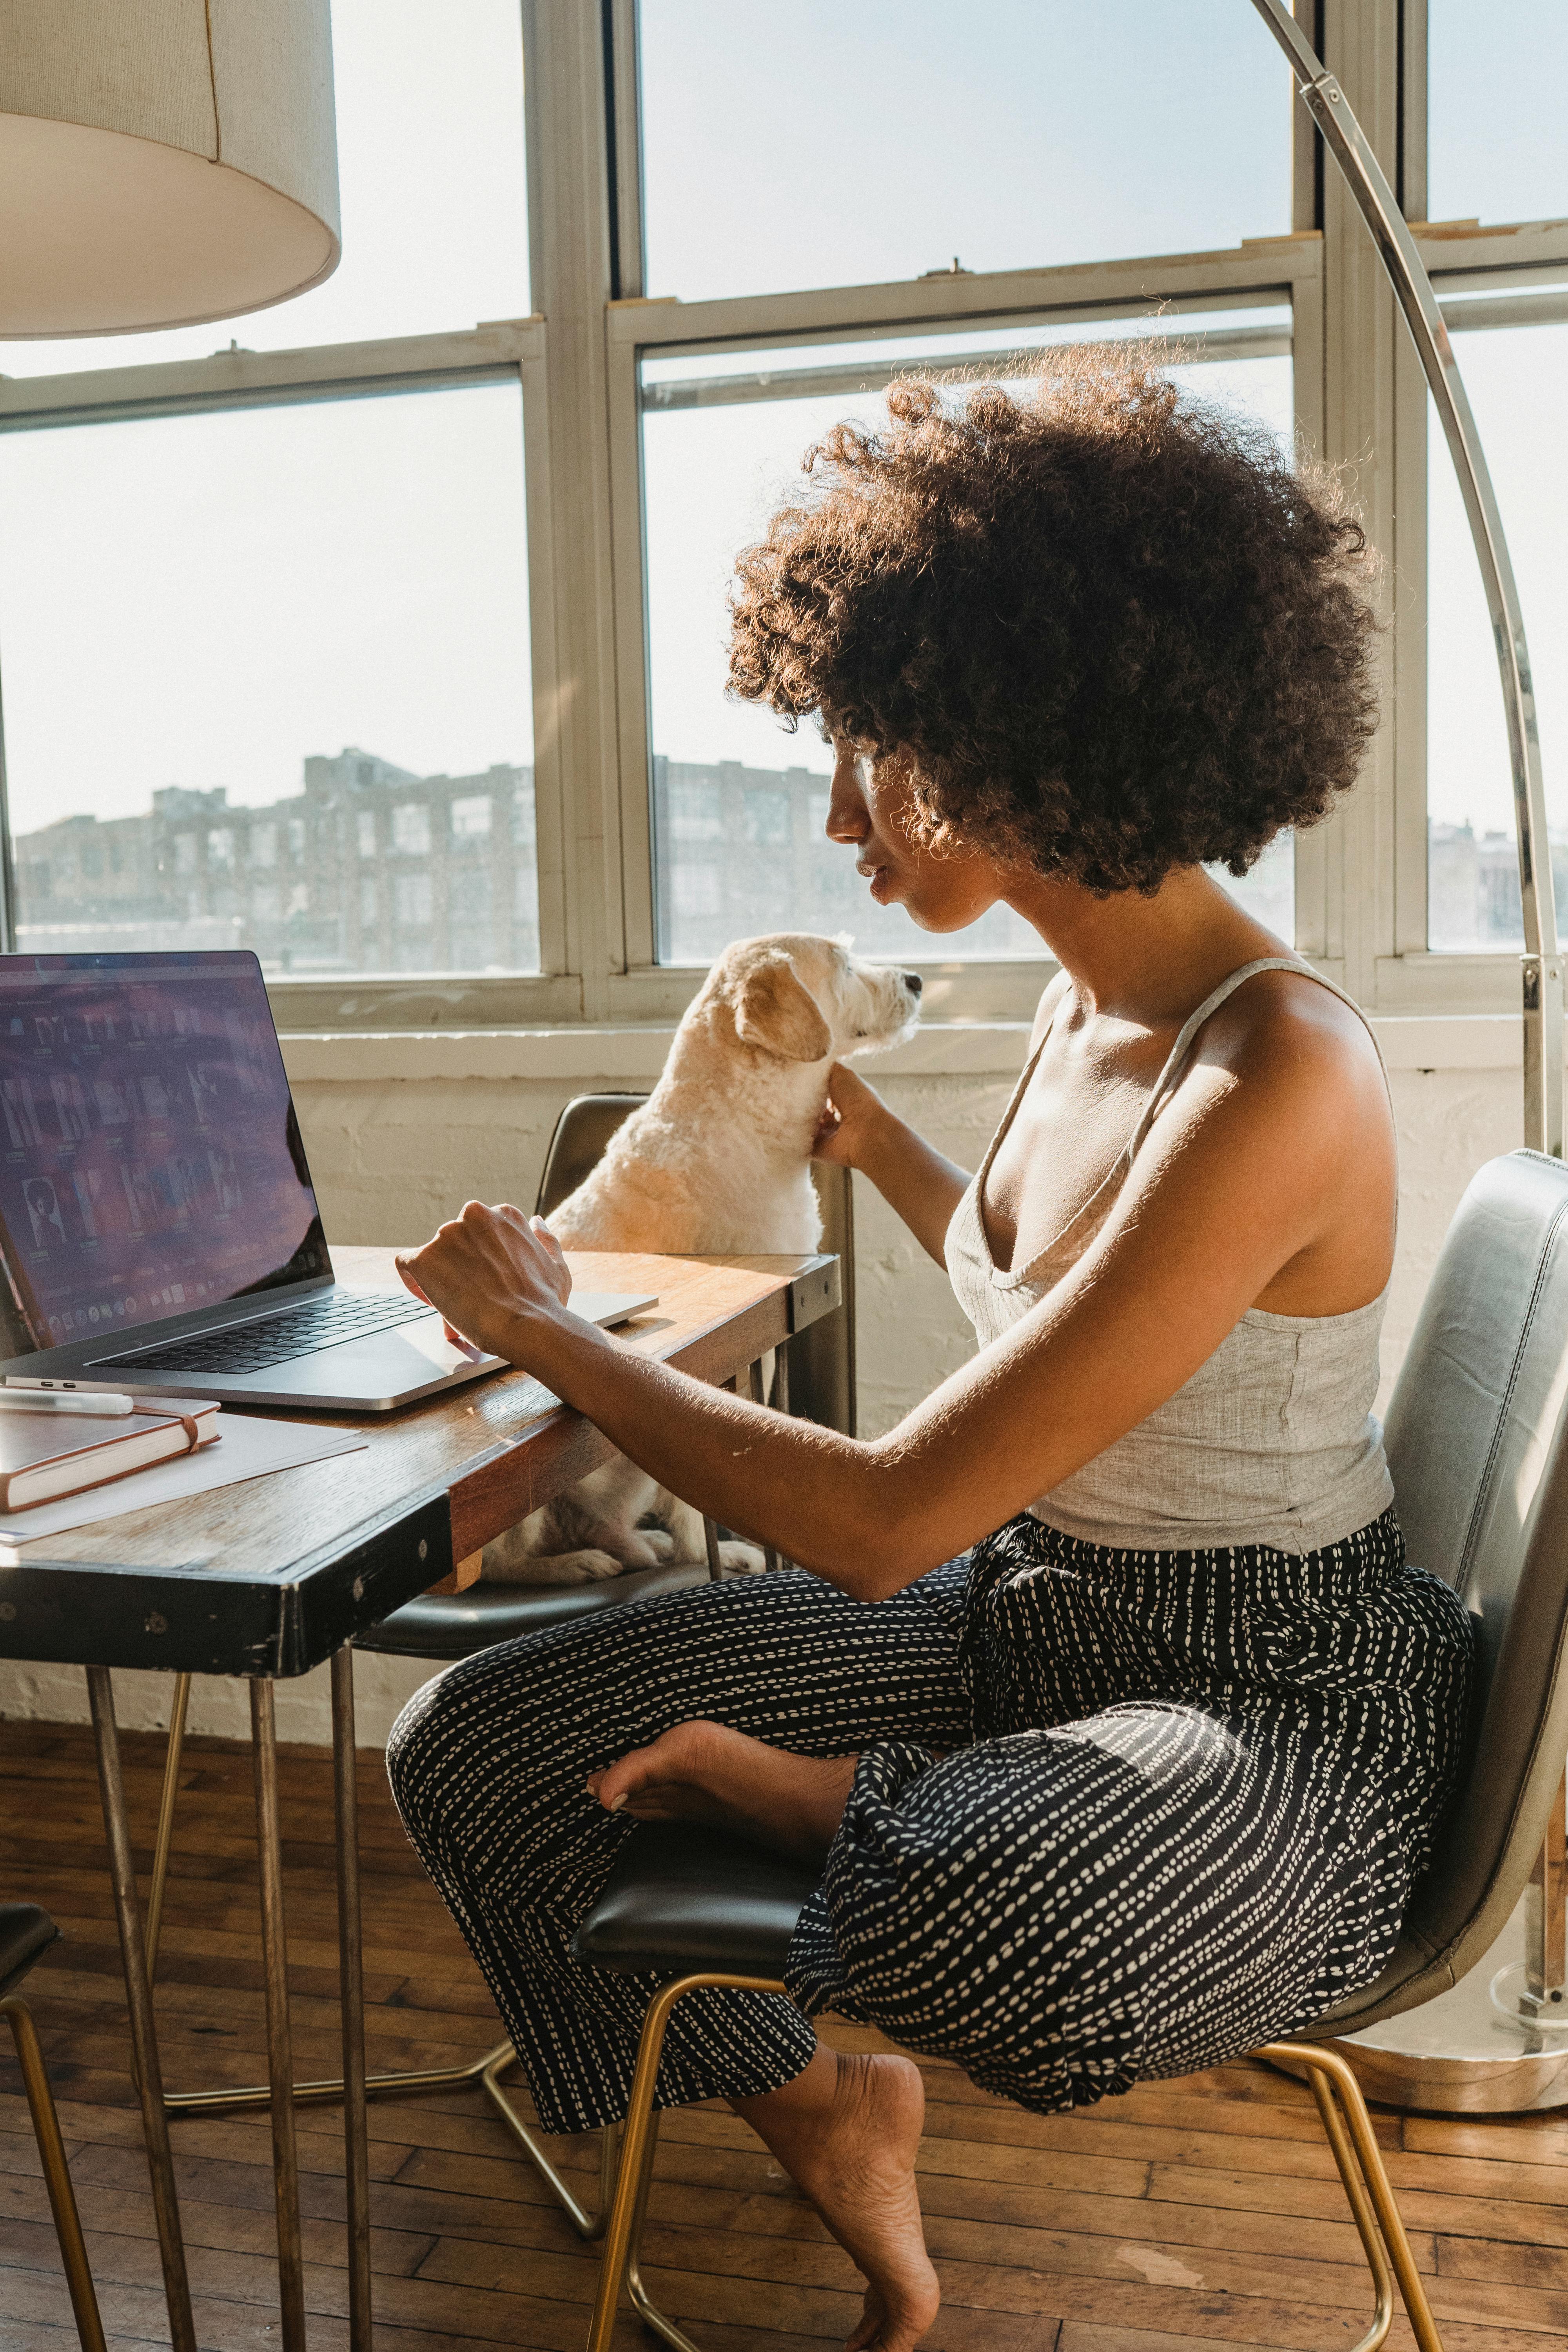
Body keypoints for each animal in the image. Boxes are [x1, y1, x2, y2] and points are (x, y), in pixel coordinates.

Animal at [482, 931, 921, 1581]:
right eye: (844, 965)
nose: (917, 980)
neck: (746, 1116)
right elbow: (697, 1500)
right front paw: (704, 1550)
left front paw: (713, 1549)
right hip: (523, 1510)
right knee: (497, 1567)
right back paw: (574, 1566)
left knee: (607, 1524)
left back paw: (637, 1546)